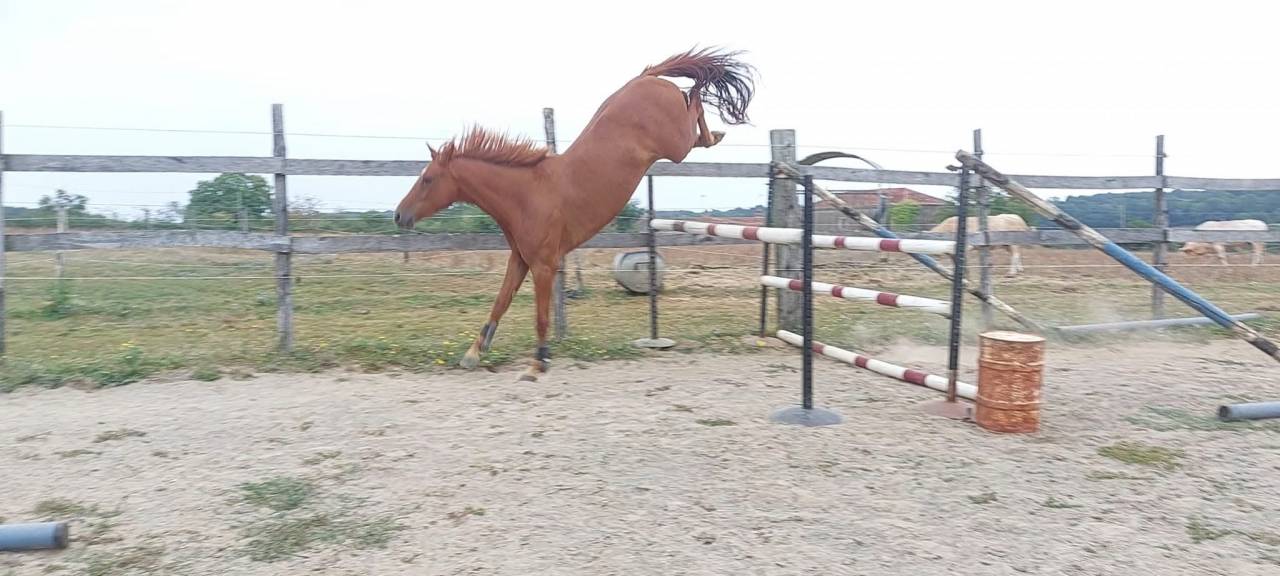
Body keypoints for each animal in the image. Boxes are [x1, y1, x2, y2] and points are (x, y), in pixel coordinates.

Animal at [394, 48, 755, 381]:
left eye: (427, 179)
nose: (399, 216)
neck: (526, 194)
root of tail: (646, 77)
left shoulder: (543, 266)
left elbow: (540, 316)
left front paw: (537, 363)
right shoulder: (520, 260)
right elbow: (500, 302)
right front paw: (472, 354)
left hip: (676, 145)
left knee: (695, 103)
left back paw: (714, 127)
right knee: (695, 108)